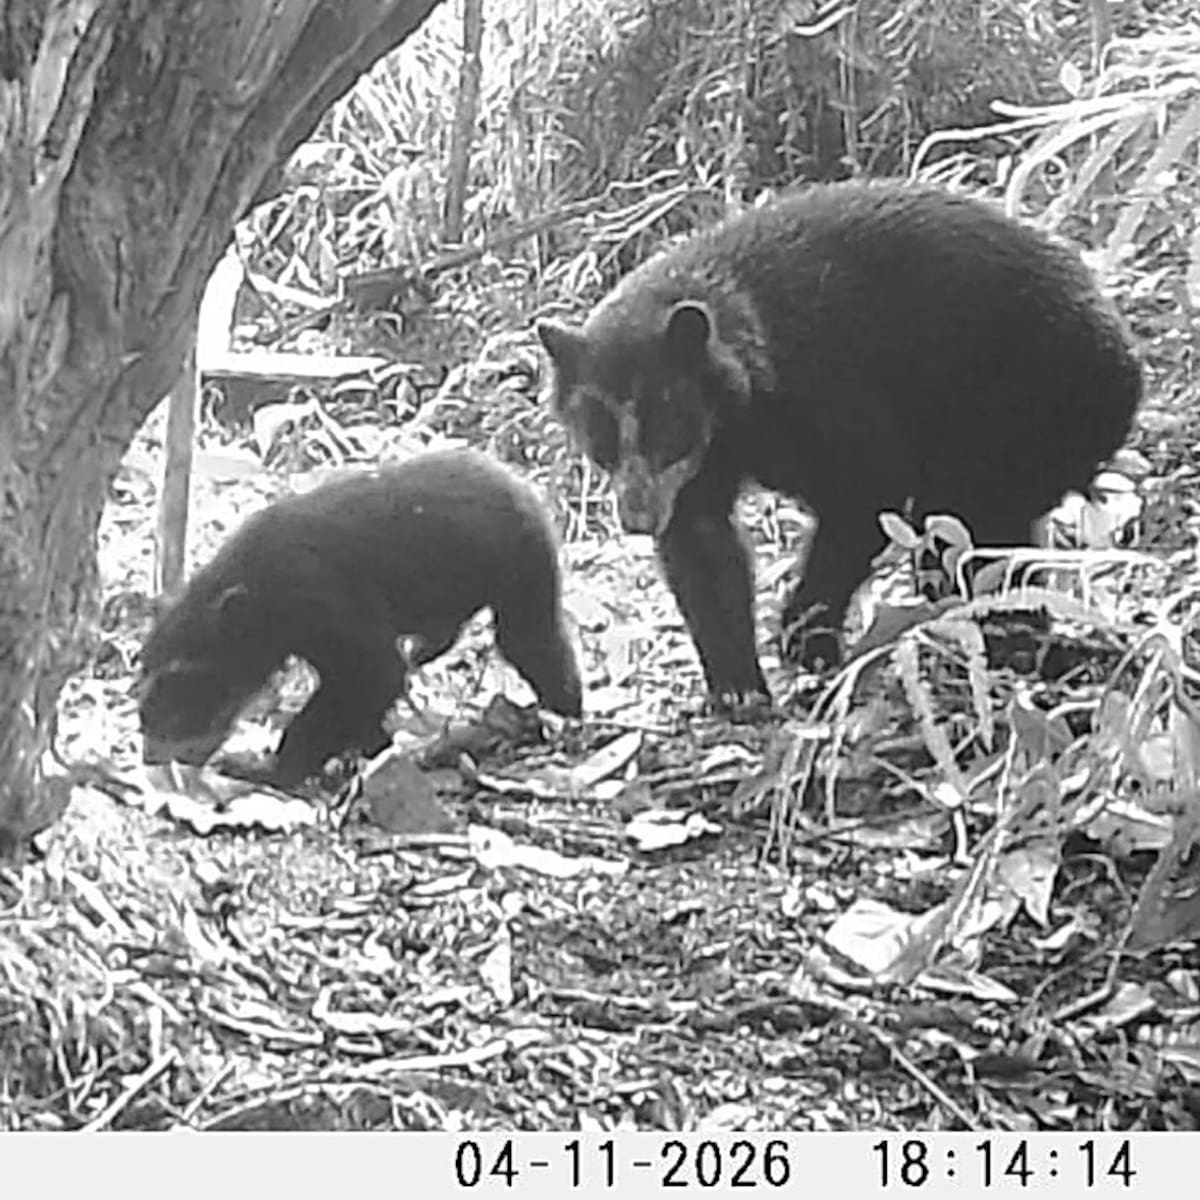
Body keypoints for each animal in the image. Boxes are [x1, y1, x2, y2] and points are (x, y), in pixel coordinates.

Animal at [139, 447, 583, 787]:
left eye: (186, 683)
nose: (151, 755)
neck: (260, 592)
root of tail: (527, 489)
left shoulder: (321, 599)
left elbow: (372, 674)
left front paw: (266, 767)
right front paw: (372, 746)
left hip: (521, 563)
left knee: (531, 639)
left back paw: (565, 715)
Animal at [536, 179, 1142, 705]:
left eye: (666, 428)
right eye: (599, 440)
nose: (637, 517)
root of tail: (1125, 350)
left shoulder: (822, 389)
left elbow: (865, 492)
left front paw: (803, 636)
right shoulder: (701, 468)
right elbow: (704, 546)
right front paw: (738, 687)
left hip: (1028, 397)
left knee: (969, 526)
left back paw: (1012, 639)